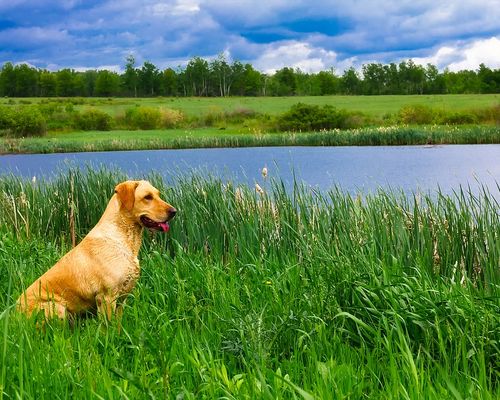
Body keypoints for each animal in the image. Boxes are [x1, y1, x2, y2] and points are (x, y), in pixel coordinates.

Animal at [16, 181, 177, 322]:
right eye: (147, 197)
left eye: (158, 195)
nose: (174, 211)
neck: (124, 239)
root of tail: (13, 314)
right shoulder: (106, 297)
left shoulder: (122, 299)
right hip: (56, 307)